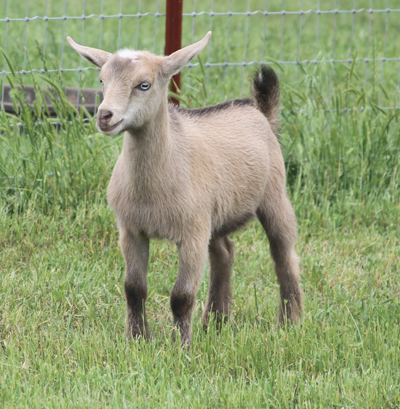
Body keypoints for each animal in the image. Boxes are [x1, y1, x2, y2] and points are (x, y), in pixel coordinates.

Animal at [67, 31, 302, 344]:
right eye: (102, 80)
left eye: (144, 84)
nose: (104, 115)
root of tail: (260, 111)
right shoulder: (131, 230)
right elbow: (133, 289)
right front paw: (136, 340)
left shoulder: (191, 235)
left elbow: (181, 296)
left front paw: (181, 345)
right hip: (212, 216)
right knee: (224, 252)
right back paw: (215, 321)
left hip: (274, 194)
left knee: (283, 255)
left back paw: (290, 321)